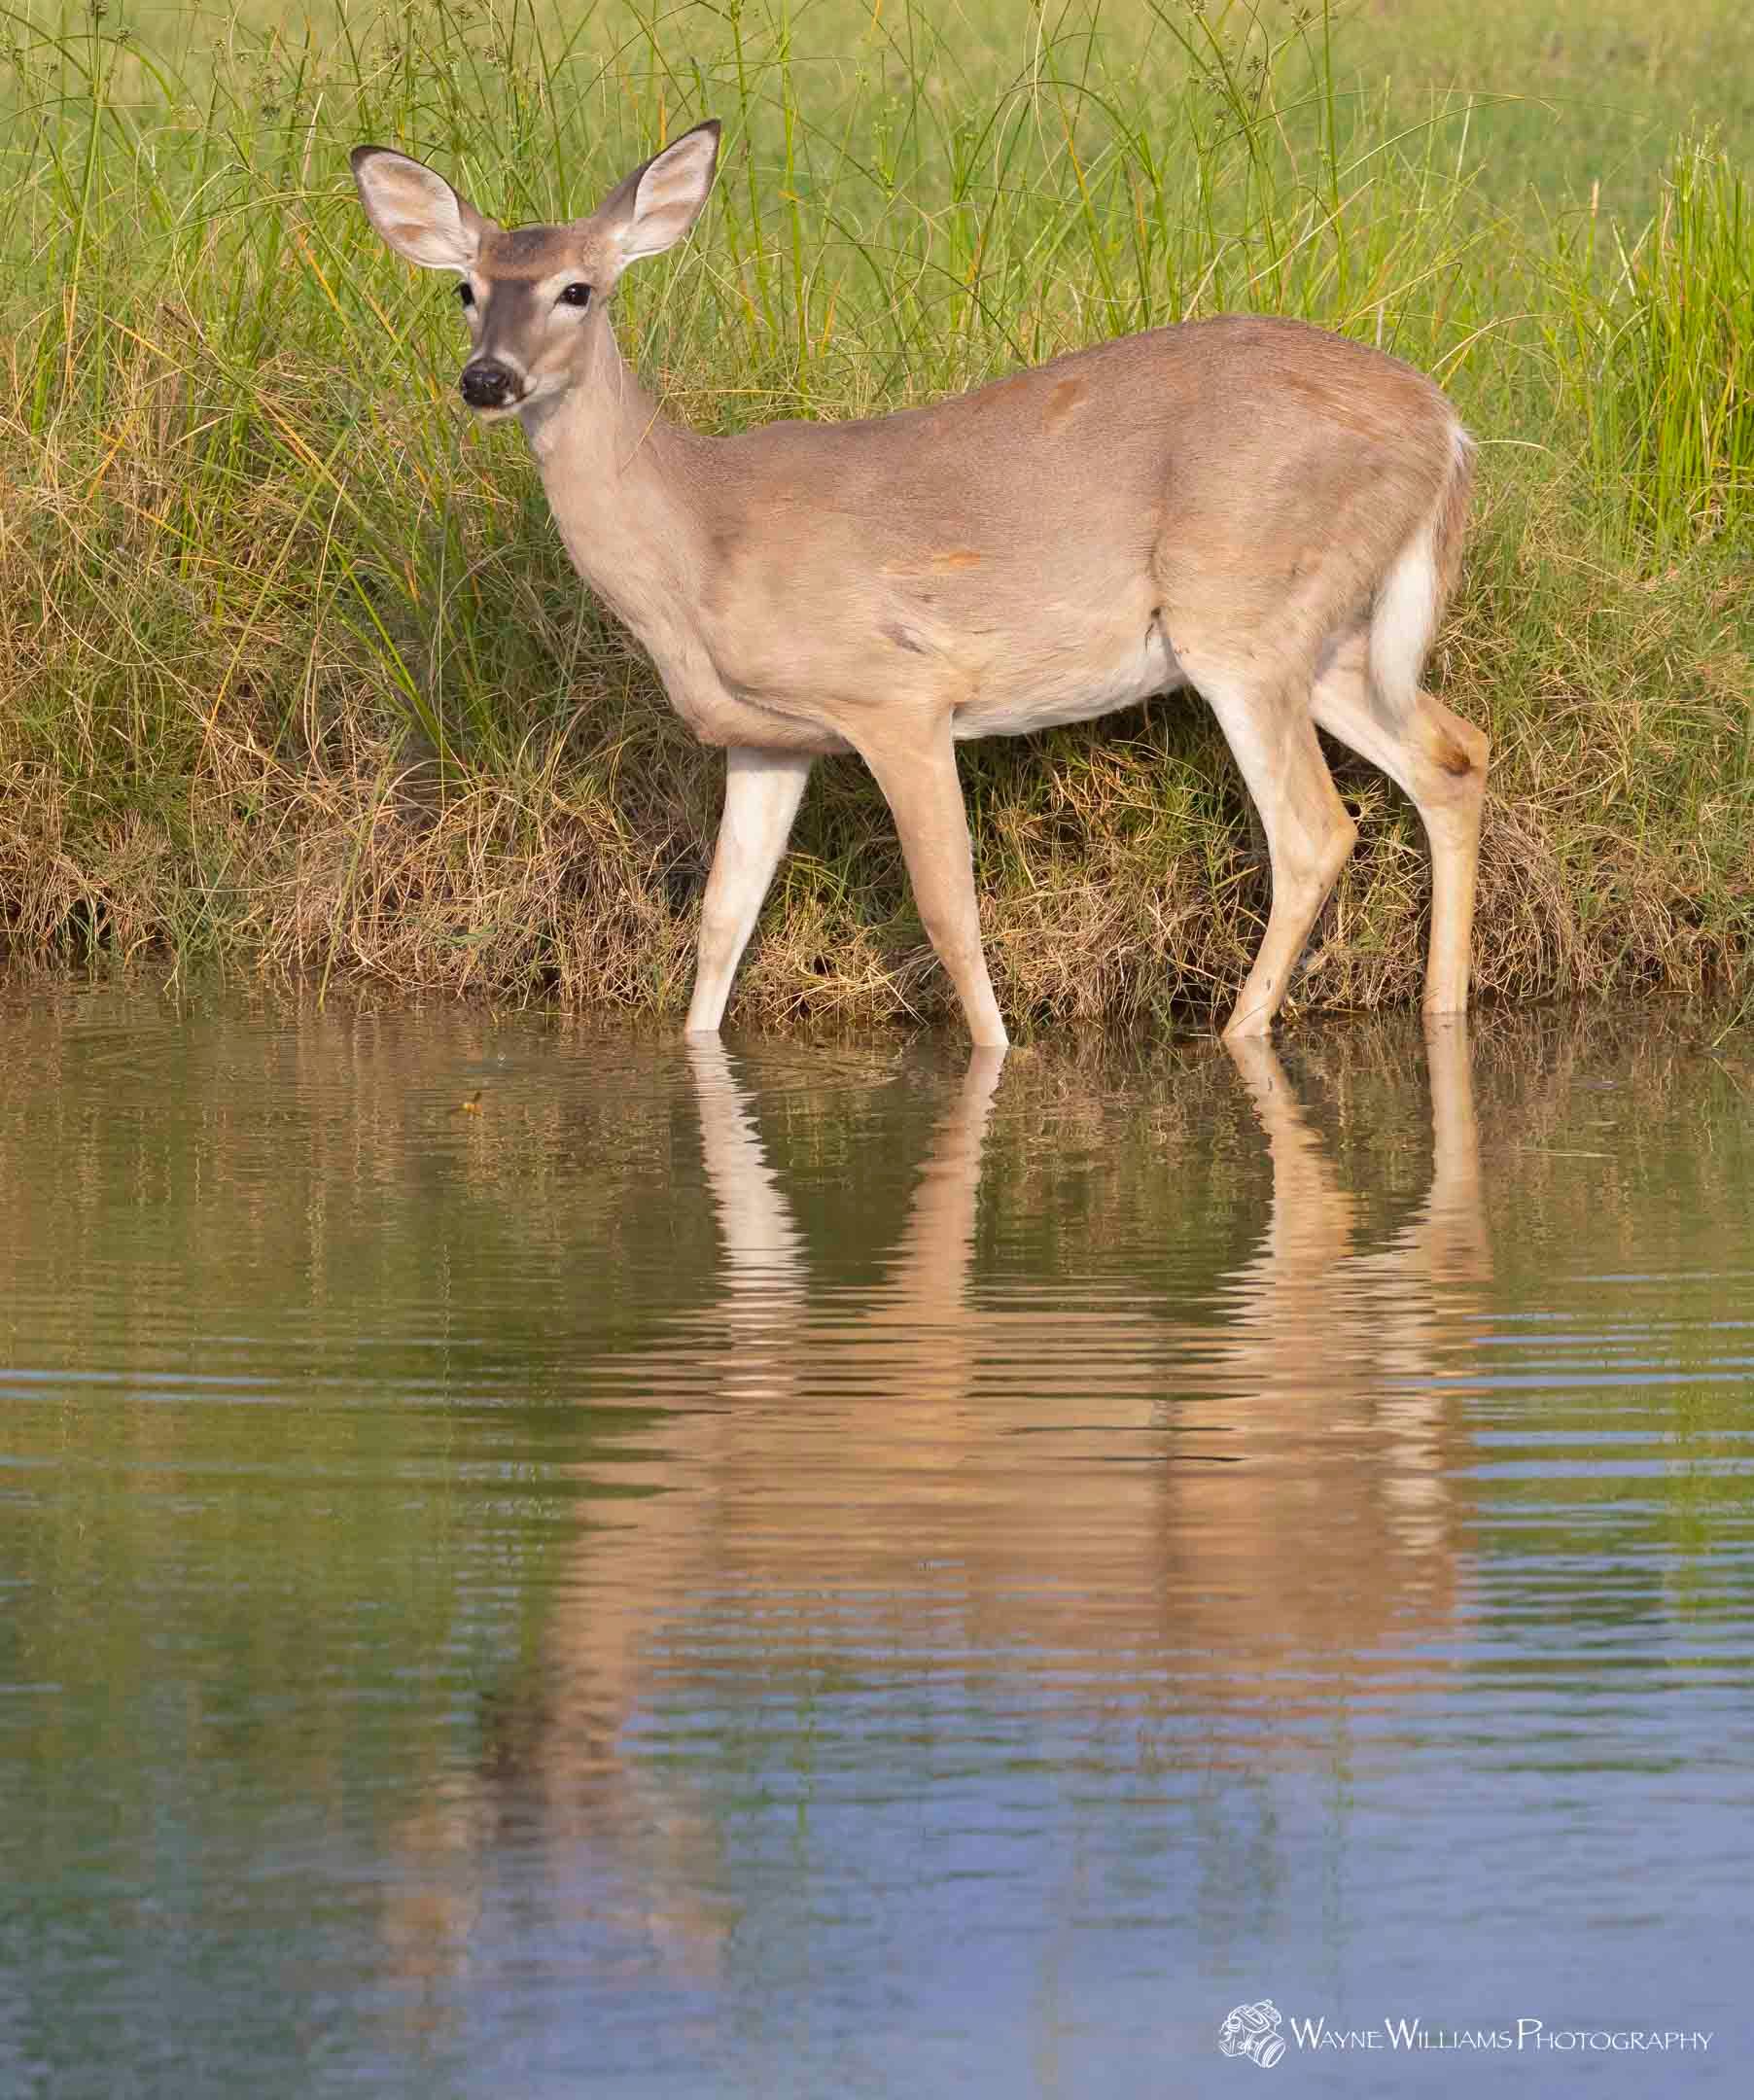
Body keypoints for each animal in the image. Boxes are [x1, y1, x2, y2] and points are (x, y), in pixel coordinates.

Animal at [350, 120, 1488, 1050]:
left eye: (577, 289)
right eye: (466, 288)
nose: (487, 378)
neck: (700, 538)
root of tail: (1444, 426)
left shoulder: (898, 694)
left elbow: (948, 911)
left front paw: (997, 1058)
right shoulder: (768, 737)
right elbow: (722, 919)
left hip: (1241, 613)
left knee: (1315, 830)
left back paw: (1239, 1035)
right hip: (1325, 634)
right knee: (1453, 755)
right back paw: (1442, 1010)